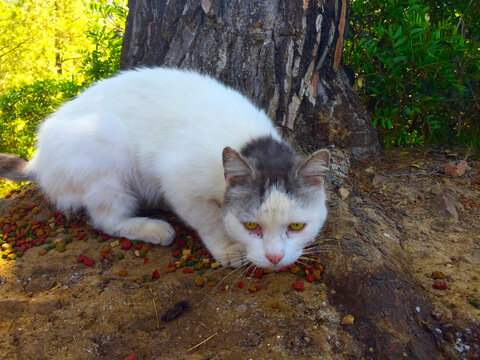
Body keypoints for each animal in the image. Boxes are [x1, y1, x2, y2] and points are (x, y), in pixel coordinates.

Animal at [0, 68, 330, 270]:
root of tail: (38, 158)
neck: (250, 143)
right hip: (107, 143)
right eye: (251, 226)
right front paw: (228, 247)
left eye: (296, 226)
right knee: (107, 219)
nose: (275, 257)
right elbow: (209, 219)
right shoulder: (178, 182)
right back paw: (153, 227)